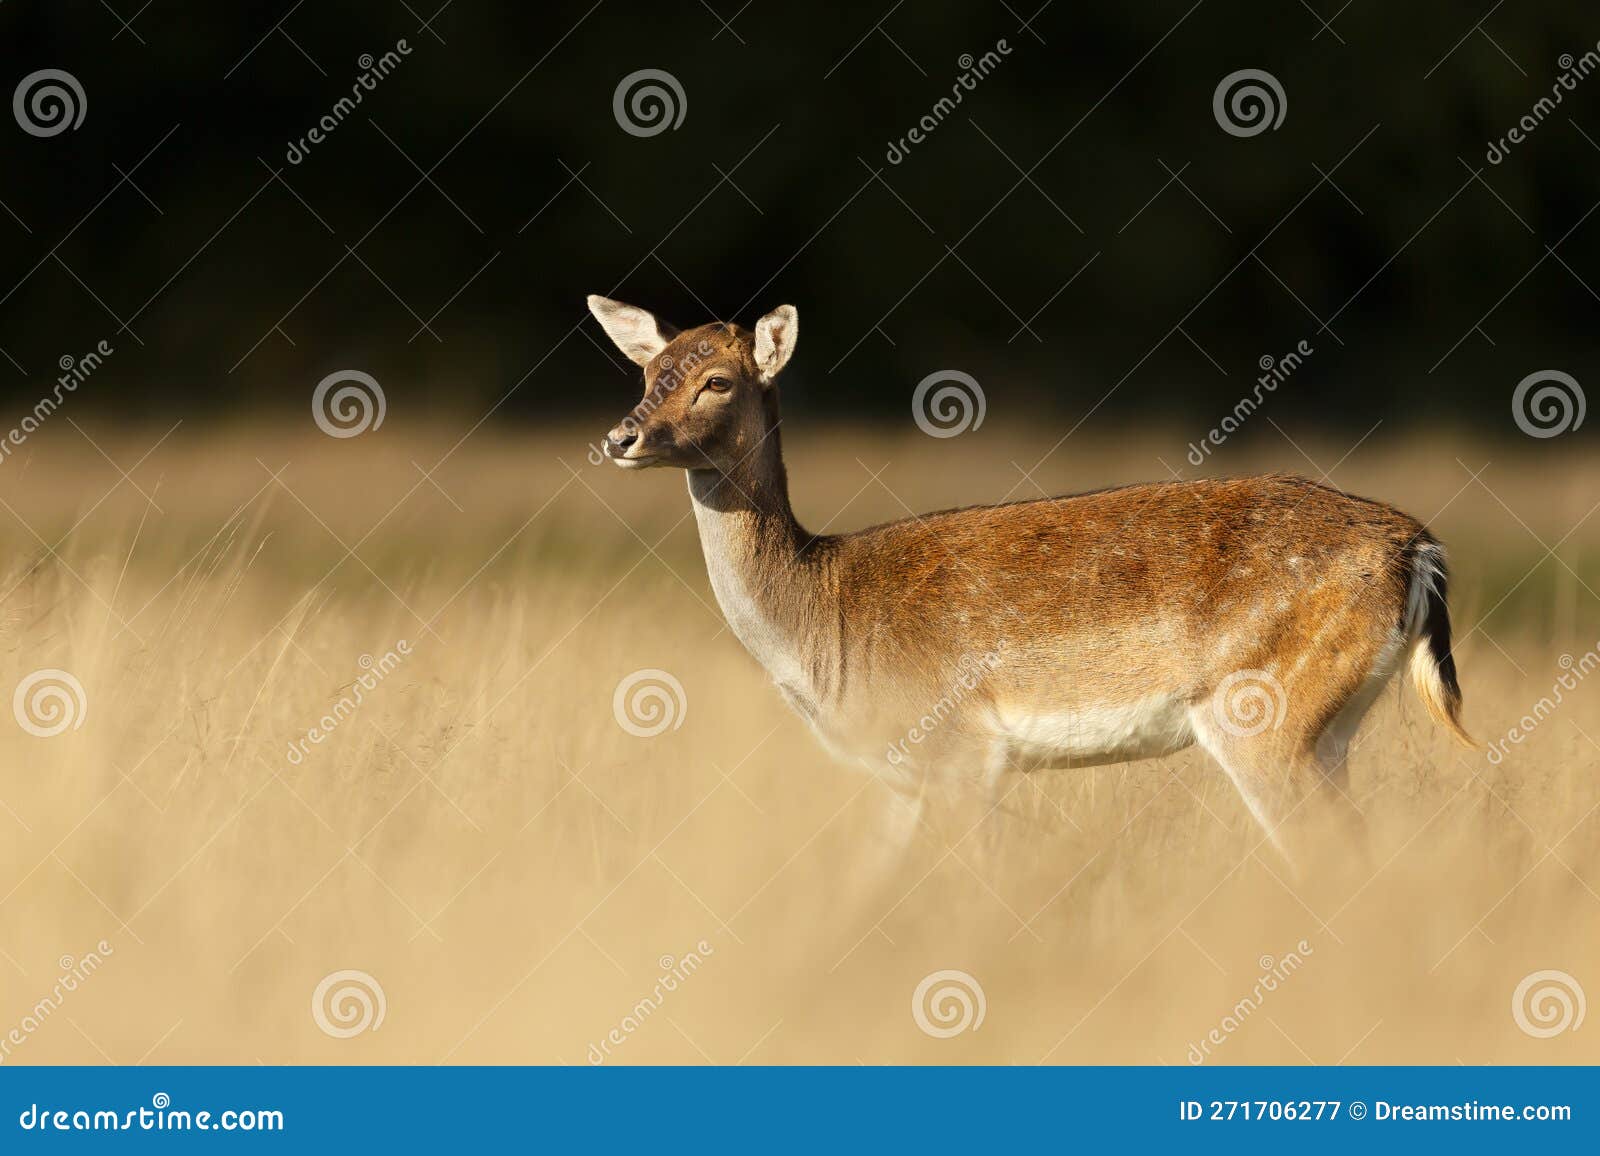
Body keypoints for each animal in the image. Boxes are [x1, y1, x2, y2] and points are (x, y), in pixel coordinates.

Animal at [588, 295, 1475, 867]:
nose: (622, 436)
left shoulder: (959, 746)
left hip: (1265, 711)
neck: (825, 625)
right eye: (647, 374)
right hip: (1332, 729)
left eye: (717, 381)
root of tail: (1419, 549)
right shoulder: (904, 778)